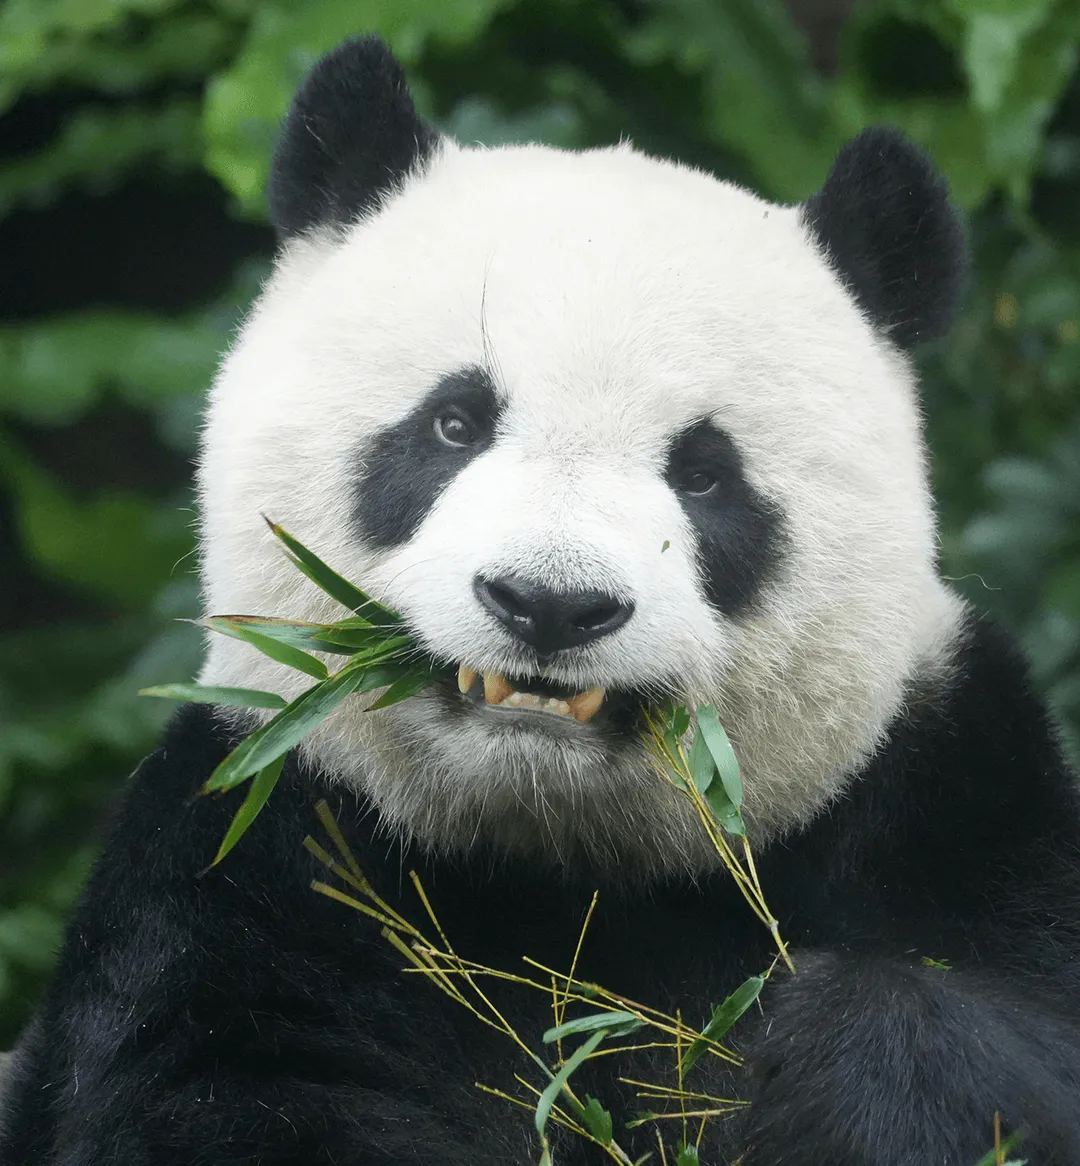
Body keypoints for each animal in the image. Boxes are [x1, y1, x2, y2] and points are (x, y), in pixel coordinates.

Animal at [4, 32, 1080, 1166]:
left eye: (706, 474)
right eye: (455, 422)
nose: (550, 604)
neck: (558, 864)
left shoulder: (949, 808)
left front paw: (829, 1059)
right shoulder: (262, 856)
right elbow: (230, 1090)